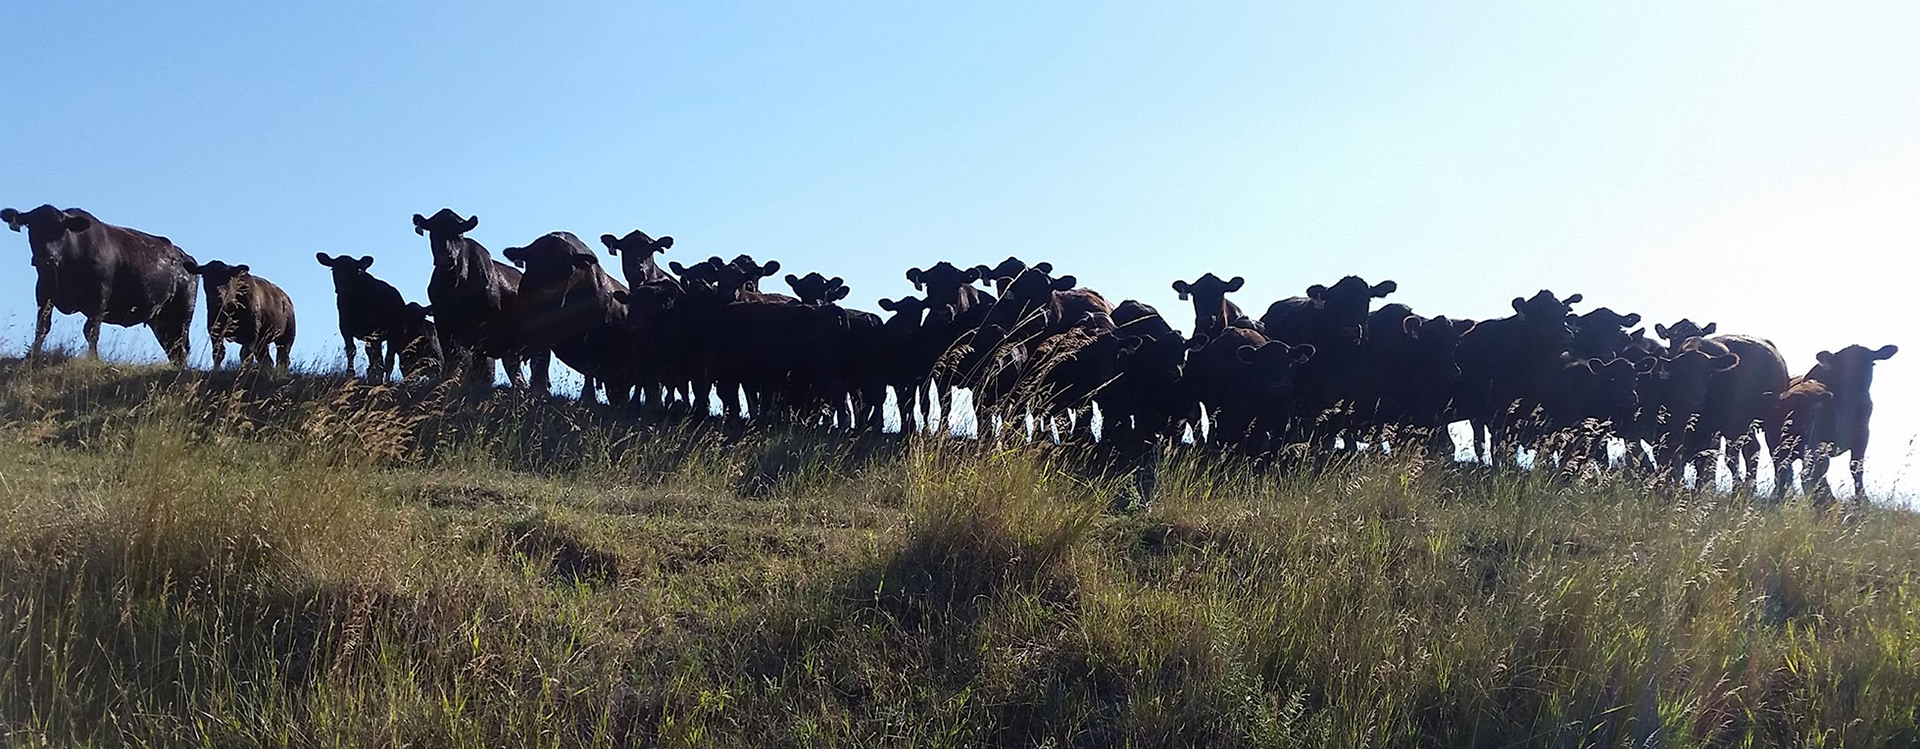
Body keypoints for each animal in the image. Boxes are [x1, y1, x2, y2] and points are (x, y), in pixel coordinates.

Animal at [3, 205, 197, 364]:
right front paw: (31, 355)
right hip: (161, 320)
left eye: (61, 230)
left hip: (182, 313)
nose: (46, 259)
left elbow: (91, 330)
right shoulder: (43, 291)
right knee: (172, 348)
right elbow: (42, 326)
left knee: (180, 346)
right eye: (31, 228)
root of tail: (186, 258)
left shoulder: (100, 294)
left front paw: (93, 359)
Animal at [412, 209, 527, 389]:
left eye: (459, 233)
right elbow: (450, 359)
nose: (446, 258)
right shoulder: (443, 323)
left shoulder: (483, 330)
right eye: (433, 231)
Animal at [500, 232, 633, 405]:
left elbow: (589, 367)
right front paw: (539, 390)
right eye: (532, 263)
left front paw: (588, 397)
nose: (549, 295)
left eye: (569, 268)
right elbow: (540, 359)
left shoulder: (592, 334)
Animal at [1799, 344, 1898, 500]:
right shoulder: (1820, 437)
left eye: (1872, 364)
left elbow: (1856, 467)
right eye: (1842, 366)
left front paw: (1862, 499)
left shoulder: (1863, 434)